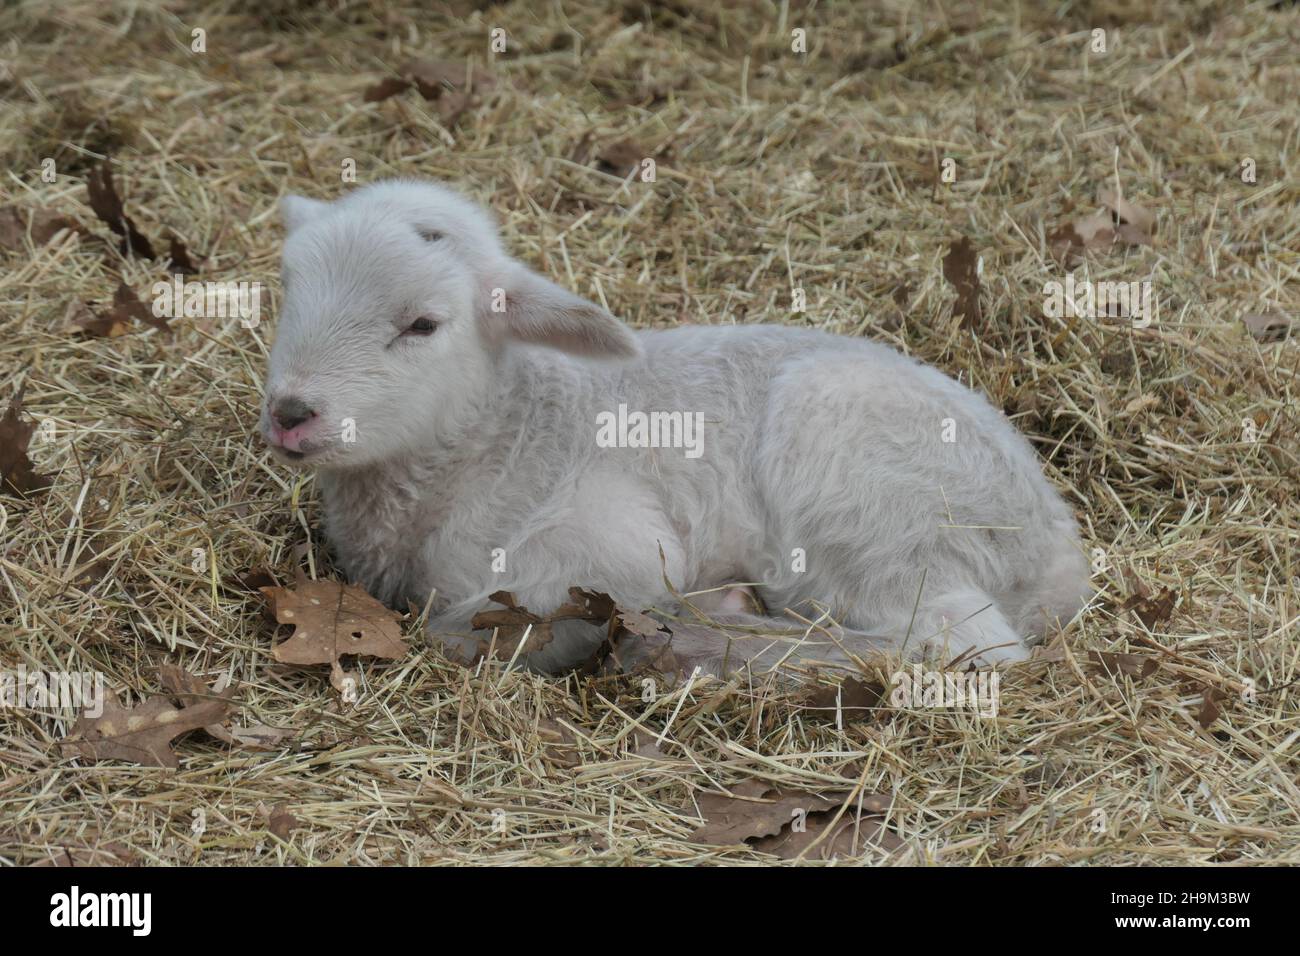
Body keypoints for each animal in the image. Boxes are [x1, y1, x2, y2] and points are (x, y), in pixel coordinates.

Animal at [258, 179, 1092, 671]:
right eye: (288, 286)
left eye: (424, 324)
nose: (291, 414)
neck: (493, 435)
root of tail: (1058, 557)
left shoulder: (611, 545)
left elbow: (471, 626)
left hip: (875, 504)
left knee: (958, 641)